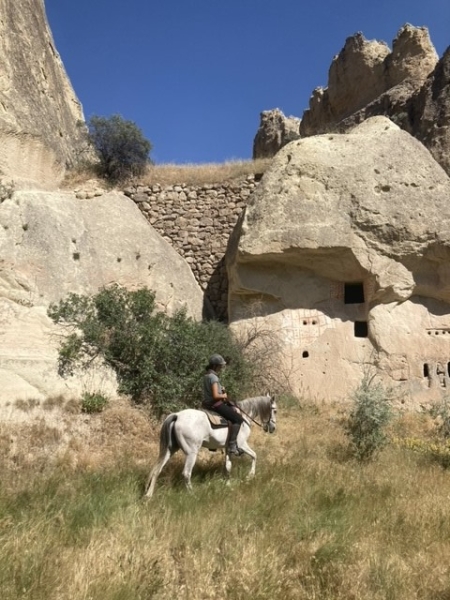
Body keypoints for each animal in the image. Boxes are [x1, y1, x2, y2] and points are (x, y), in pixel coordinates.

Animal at [146, 394, 276, 496]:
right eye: (275, 410)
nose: (273, 428)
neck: (244, 418)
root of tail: (177, 415)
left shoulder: (228, 448)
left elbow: (228, 466)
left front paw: (228, 485)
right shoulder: (242, 444)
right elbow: (254, 455)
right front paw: (250, 476)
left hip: (170, 449)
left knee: (157, 470)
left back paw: (149, 495)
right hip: (191, 453)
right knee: (186, 473)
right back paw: (192, 494)